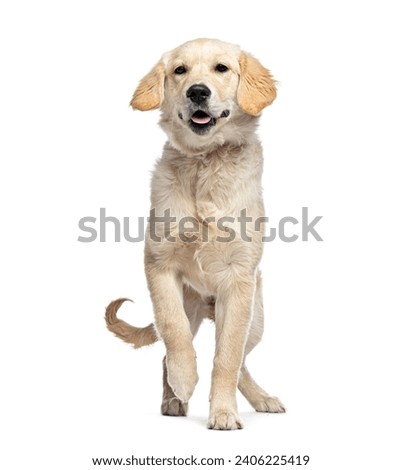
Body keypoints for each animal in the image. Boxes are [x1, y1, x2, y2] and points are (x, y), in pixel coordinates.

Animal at [105, 39, 284, 430]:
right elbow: (174, 332)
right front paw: (184, 380)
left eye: (221, 68)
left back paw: (261, 399)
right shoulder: (159, 263)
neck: (205, 161)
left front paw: (223, 413)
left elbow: (227, 358)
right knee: (168, 350)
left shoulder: (239, 280)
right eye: (179, 70)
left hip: (256, 318)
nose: (197, 92)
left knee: (241, 360)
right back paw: (173, 398)